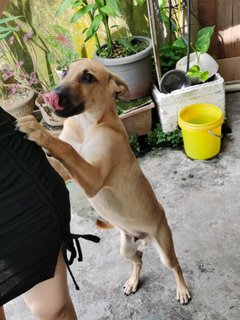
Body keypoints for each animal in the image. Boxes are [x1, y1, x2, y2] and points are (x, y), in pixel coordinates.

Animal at [15, 58, 190, 304]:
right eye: (65, 72)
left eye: (88, 77)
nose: (53, 95)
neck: (85, 124)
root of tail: (143, 237)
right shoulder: (65, 171)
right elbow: (61, 156)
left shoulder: (94, 177)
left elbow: (66, 149)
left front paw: (40, 131)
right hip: (125, 247)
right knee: (138, 258)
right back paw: (133, 281)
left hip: (164, 247)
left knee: (175, 265)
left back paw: (182, 289)